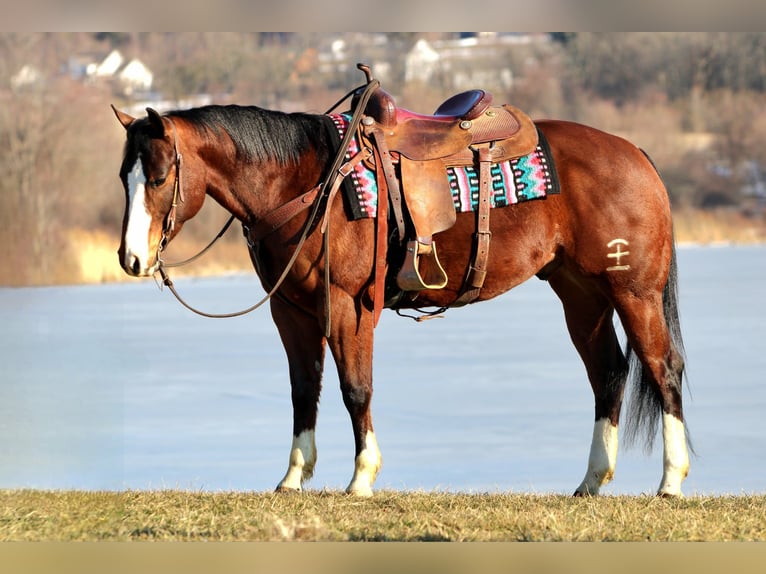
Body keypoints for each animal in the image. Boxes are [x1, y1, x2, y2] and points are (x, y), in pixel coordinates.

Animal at [111, 72, 690, 498]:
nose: (131, 258)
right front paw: (293, 477)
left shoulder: (349, 305)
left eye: (159, 177)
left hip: (633, 292)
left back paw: (671, 481)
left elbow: (355, 387)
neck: (308, 181)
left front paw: (362, 477)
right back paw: (591, 482)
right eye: (124, 177)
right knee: (608, 373)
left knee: (662, 370)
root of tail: (634, 153)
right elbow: (304, 389)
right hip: (581, 294)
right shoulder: (292, 310)